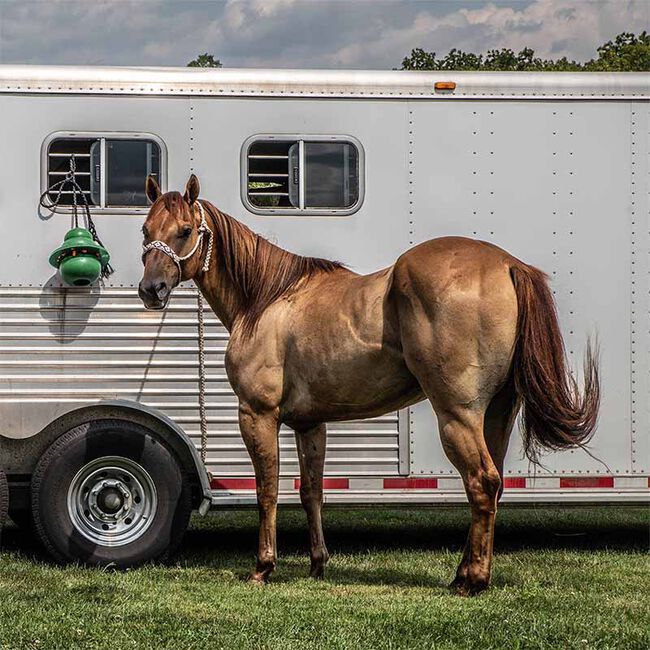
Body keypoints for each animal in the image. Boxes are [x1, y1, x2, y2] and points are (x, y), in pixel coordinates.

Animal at [139, 174, 599, 595]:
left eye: (185, 231)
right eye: (146, 229)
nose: (150, 290)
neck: (266, 300)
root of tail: (507, 264)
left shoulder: (257, 414)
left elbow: (268, 491)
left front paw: (263, 566)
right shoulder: (310, 424)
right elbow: (311, 492)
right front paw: (317, 563)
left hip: (457, 415)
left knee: (481, 483)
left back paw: (473, 581)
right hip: (498, 414)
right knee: (492, 485)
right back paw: (461, 574)